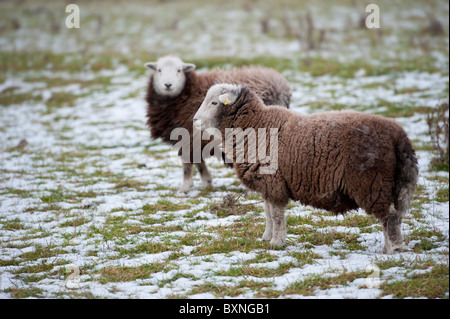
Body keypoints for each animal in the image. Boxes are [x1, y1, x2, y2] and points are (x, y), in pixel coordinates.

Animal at [193, 84, 418, 255]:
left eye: (214, 102)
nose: (194, 120)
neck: (255, 125)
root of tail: (398, 136)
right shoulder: (267, 183)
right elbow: (267, 212)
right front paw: (267, 237)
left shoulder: (274, 182)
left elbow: (276, 214)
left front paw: (277, 242)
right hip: (386, 184)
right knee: (392, 217)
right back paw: (388, 248)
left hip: (371, 182)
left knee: (390, 217)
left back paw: (395, 250)